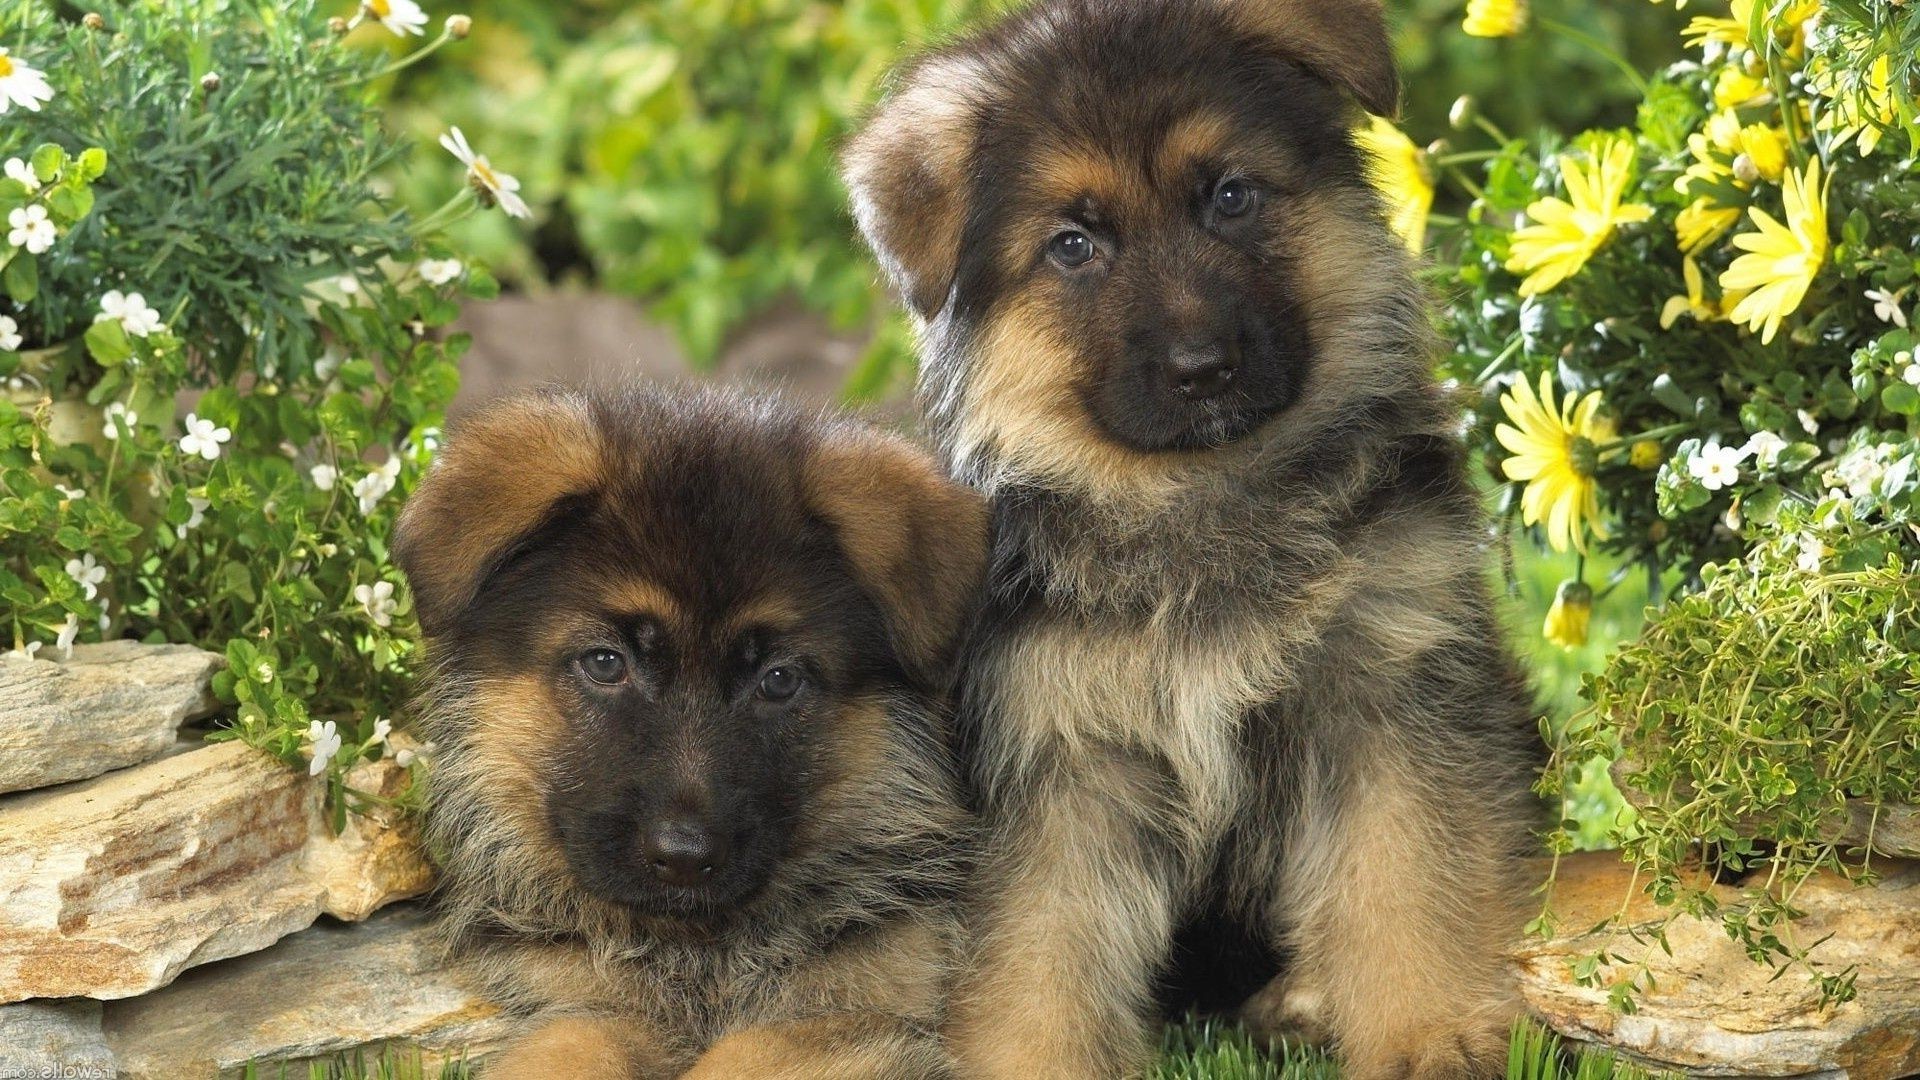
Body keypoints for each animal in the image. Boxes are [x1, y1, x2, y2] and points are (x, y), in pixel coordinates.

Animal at [391, 386, 990, 1076]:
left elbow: (749, 1053)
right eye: (605, 663)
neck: (696, 953)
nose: (684, 857)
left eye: (779, 680)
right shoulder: (587, 1004)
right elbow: (568, 1045)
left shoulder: (855, 1014)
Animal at [848, 2, 1536, 1076]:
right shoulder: (1057, 762)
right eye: (1073, 245)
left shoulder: (1390, 695)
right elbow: (1036, 963)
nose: (1202, 368)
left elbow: (1408, 881)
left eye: (1230, 196)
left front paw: (1428, 1035)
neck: (1200, 501)